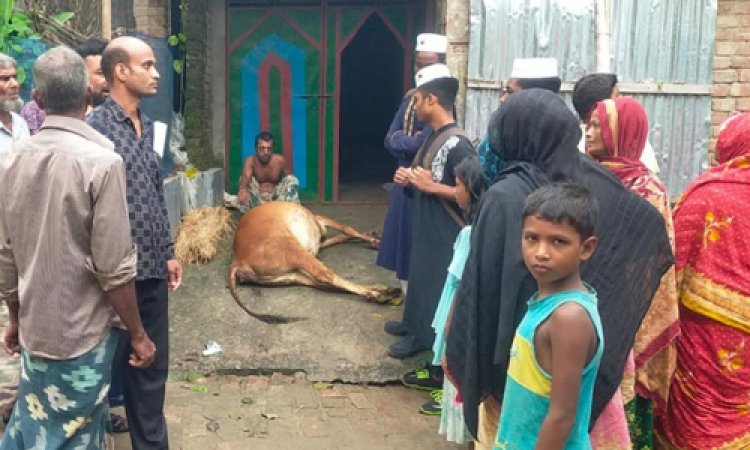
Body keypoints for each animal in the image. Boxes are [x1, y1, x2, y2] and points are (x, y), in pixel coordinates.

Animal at [229, 201, 402, 324]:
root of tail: (237, 260)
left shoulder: (318, 239)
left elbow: (339, 236)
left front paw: (372, 236)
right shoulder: (320, 220)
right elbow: (348, 229)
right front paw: (374, 240)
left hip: (290, 276)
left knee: (324, 283)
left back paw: (381, 291)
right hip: (294, 250)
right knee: (326, 275)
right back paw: (380, 294)